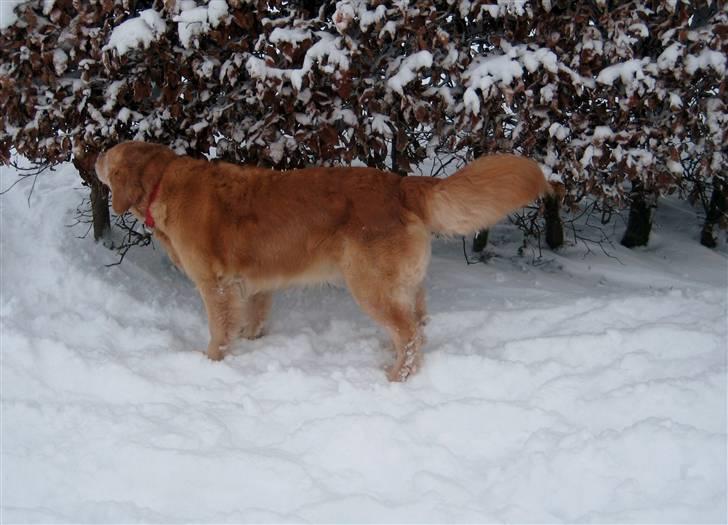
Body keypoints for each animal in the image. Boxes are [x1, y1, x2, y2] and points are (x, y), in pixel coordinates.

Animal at [96, 142, 548, 380]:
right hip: (404, 286)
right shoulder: (254, 286)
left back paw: (395, 378)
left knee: (408, 334)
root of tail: (400, 185)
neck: (162, 182)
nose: (92, 157)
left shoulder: (216, 286)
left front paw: (211, 364)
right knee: (417, 327)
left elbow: (219, 333)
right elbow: (251, 323)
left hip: (369, 286)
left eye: (107, 155)